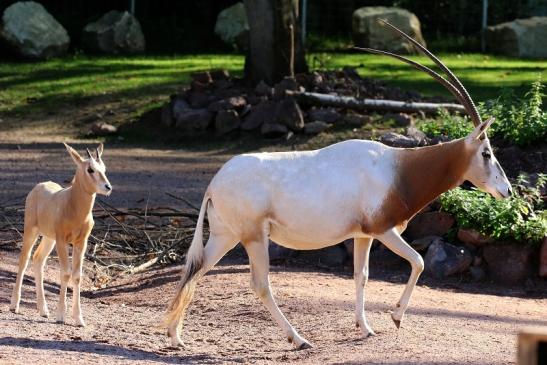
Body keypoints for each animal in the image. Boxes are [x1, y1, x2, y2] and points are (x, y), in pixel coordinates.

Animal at [10, 142, 111, 324]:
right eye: (90, 169)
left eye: (104, 168)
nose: (107, 187)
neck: (74, 207)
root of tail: (38, 187)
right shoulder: (62, 241)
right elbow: (65, 274)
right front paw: (61, 316)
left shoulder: (81, 242)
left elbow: (77, 276)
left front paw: (79, 319)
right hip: (32, 230)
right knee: (24, 259)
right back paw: (15, 305)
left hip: (49, 238)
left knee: (38, 259)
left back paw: (43, 310)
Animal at [163, 21, 512, 348]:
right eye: (487, 152)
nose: (506, 190)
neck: (398, 168)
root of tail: (214, 182)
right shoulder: (383, 229)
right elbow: (419, 261)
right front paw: (396, 316)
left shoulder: (363, 235)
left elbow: (361, 276)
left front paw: (366, 327)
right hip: (253, 237)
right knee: (259, 284)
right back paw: (298, 339)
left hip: (226, 235)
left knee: (194, 268)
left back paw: (175, 336)